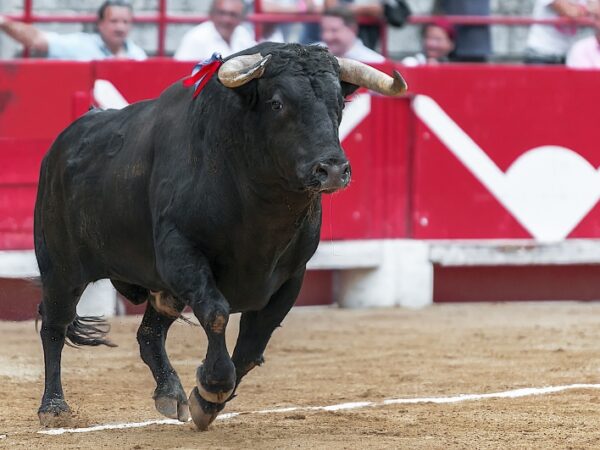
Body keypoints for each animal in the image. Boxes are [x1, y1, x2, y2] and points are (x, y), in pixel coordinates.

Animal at [34, 43, 408, 432]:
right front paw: (213, 386)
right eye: (277, 103)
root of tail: (63, 143)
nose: (332, 169)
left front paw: (206, 401)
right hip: (61, 268)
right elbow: (216, 314)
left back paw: (170, 393)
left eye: (340, 103)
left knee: (149, 334)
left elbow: (253, 344)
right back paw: (53, 407)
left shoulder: (291, 276)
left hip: (162, 288)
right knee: (54, 327)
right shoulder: (182, 253)